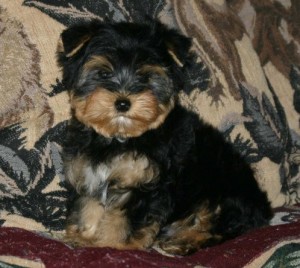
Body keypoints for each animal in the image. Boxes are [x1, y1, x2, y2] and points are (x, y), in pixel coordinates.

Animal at [57, 20, 274, 255]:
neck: (119, 137)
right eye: (104, 74)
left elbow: (124, 219)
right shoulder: (90, 173)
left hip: (224, 194)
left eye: (145, 77)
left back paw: (184, 242)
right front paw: (86, 236)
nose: (123, 103)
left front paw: (113, 245)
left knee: (219, 226)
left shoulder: (145, 183)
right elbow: (89, 206)